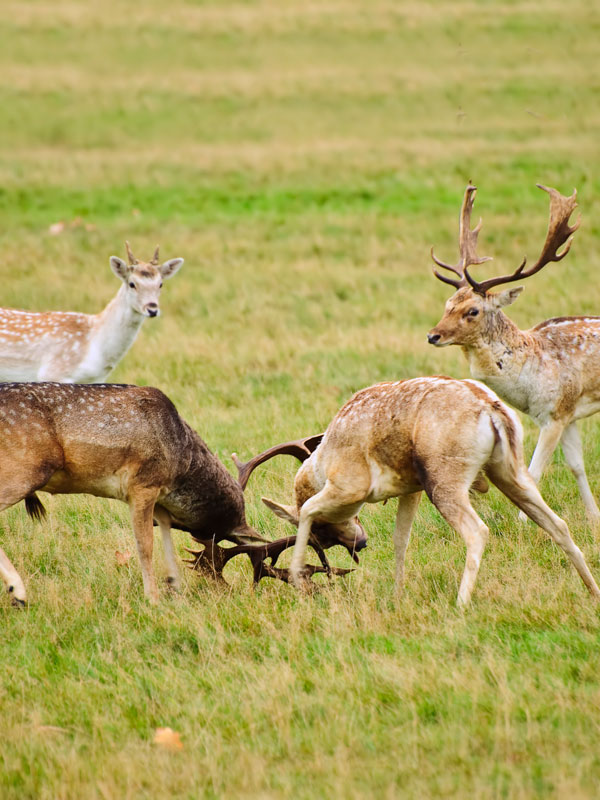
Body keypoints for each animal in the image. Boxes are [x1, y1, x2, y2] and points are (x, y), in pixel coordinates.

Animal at [0, 383, 361, 606]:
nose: (358, 542)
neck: (182, 461)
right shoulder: (143, 484)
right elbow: (145, 546)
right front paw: (154, 599)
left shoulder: (161, 501)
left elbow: (167, 539)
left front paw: (175, 587)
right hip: (25, 469)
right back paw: (18, 593)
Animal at [243, 376, 600, 606]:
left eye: (323, 533)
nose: (360, 543)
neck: (325, 456)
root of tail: (490, 406)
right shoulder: (410, 491)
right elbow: (400, 539)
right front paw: (398, 594)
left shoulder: (349, 489)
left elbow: (305, 509)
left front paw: (298, 580)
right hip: (510, 475)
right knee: (558, 525)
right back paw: (592, 592)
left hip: (445, 487)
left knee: (478, 531)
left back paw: (460, 604)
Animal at [427, 182, 600, 527]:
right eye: (447, 304)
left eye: (473, 311)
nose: (432, 335)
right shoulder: (568, 413)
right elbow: (577, 465)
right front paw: (594, 517)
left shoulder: (555, 414)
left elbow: (533, 472)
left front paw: (525, 521)